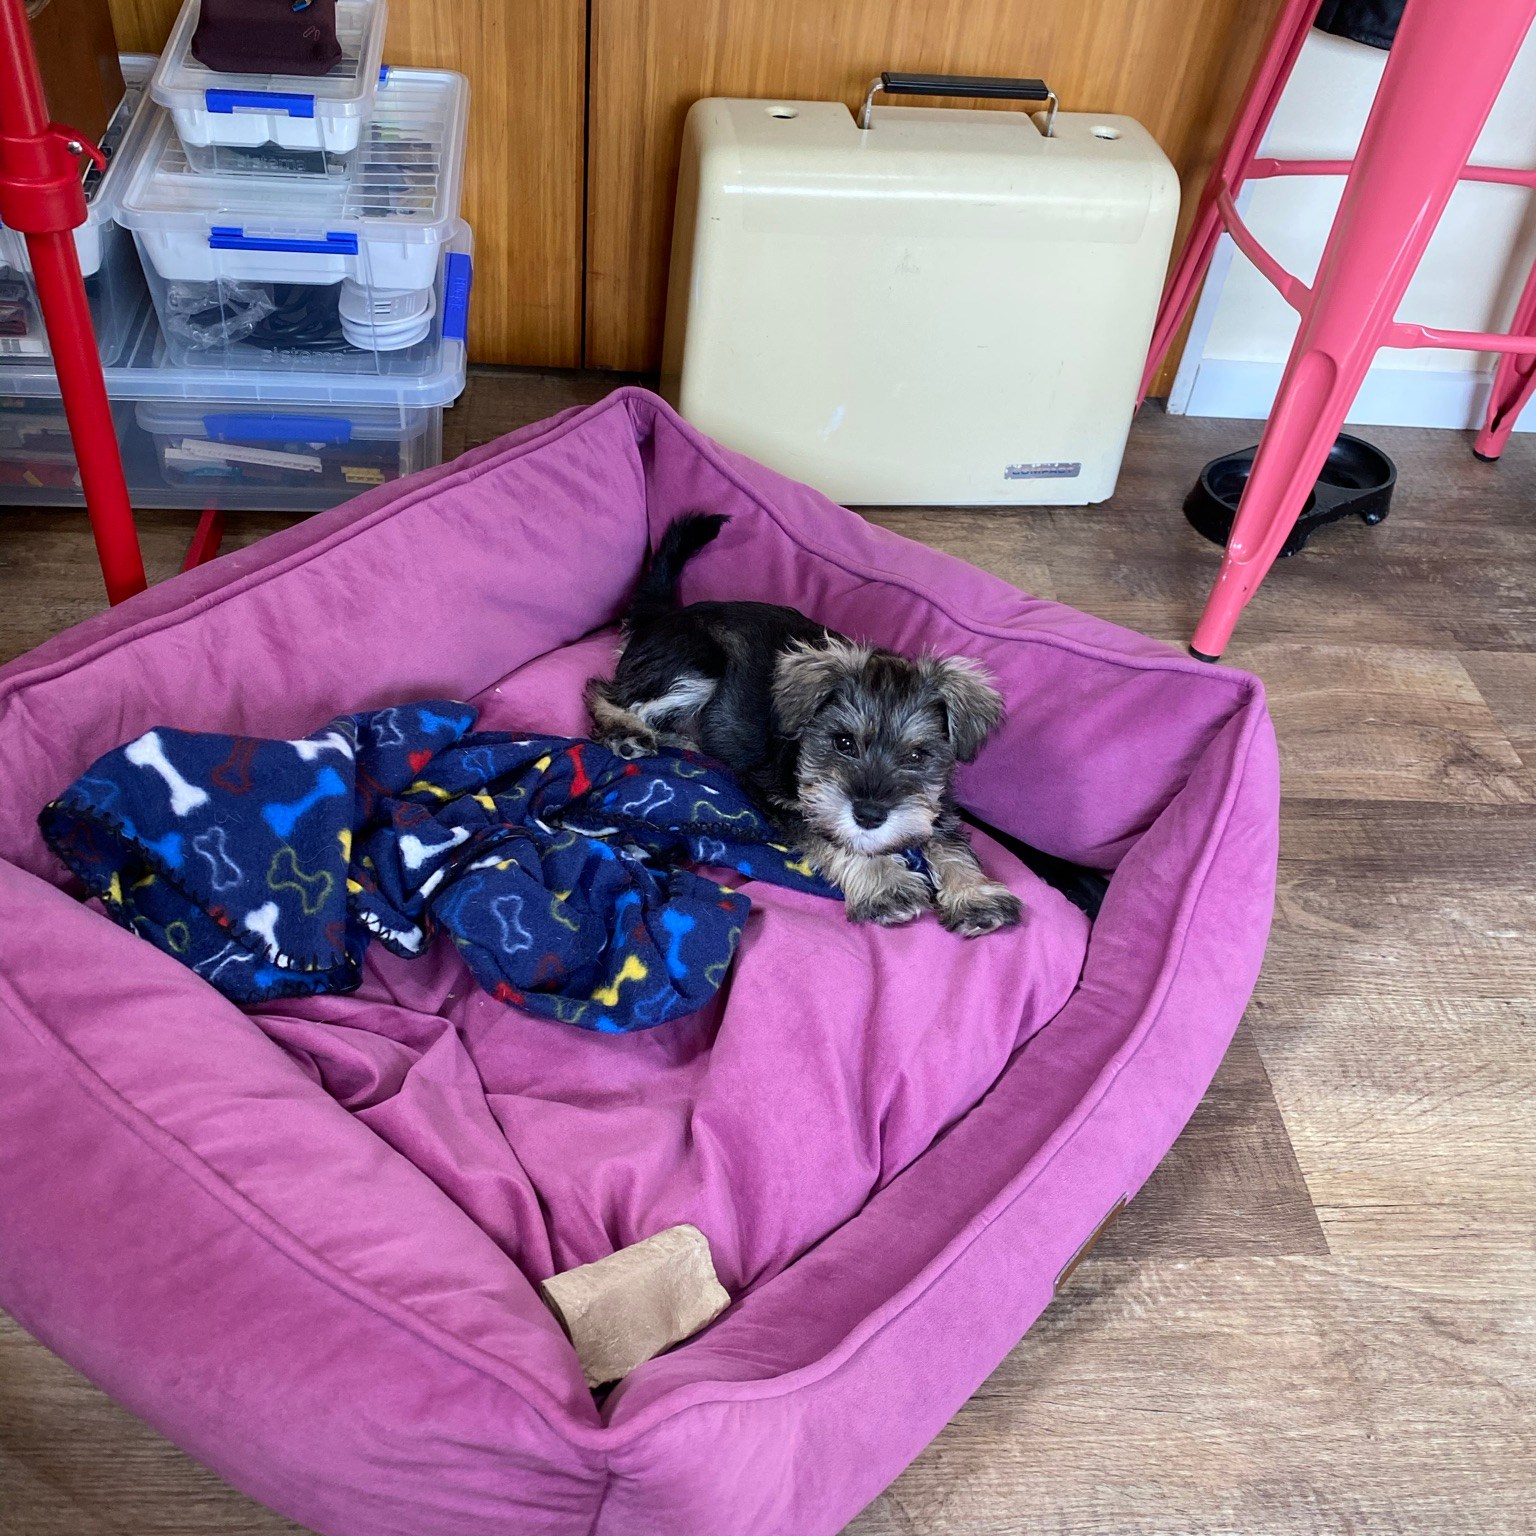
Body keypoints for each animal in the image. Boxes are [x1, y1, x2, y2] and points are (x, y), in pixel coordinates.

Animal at [584, 513, 1023, 936]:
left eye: (918, 755)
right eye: (843, 742)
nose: (869, 815)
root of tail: (662, 616)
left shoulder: (937, 804)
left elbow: (949, 843)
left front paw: (976, 897)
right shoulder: (791, 802)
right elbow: (836, 837)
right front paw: (886, 886)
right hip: (697, 663)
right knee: (605, 692)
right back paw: (627, 732)